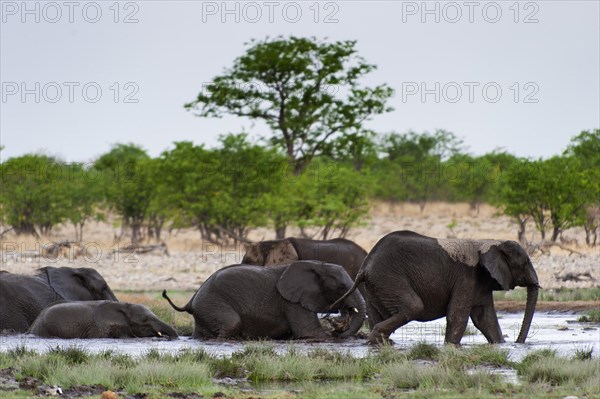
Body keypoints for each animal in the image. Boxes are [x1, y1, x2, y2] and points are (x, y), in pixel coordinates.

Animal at [162, 260, 366, 342]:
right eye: (341, 288)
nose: (340, 330)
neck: (318, 265)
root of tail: (191, 300)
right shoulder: (291, 301)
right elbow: (310, 333)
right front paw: (332, 335)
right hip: (213, 303)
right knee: (231, 323)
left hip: (205, 309)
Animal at [330, 231, 540, 346]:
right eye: (525, 262)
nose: (518, 343)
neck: (489, 242)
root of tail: (365, 266)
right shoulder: (467, 277)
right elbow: (457, 315)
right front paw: (451, 347)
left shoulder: (481, 281)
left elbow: (485, 319)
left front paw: (500, 345)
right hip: (388, 278)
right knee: (413, 307)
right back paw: (379, 338)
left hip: (377, 285)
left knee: (377, 314)